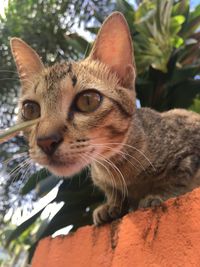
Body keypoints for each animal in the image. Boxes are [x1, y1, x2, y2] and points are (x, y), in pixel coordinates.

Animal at [10, 12, 200, 226]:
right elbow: (114, 193)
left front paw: (159, 195)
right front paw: (112, 205)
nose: (46, 141)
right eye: (30, 109)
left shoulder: (189, 147)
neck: (117, 167)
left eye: (88, 100)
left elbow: (179, 177)